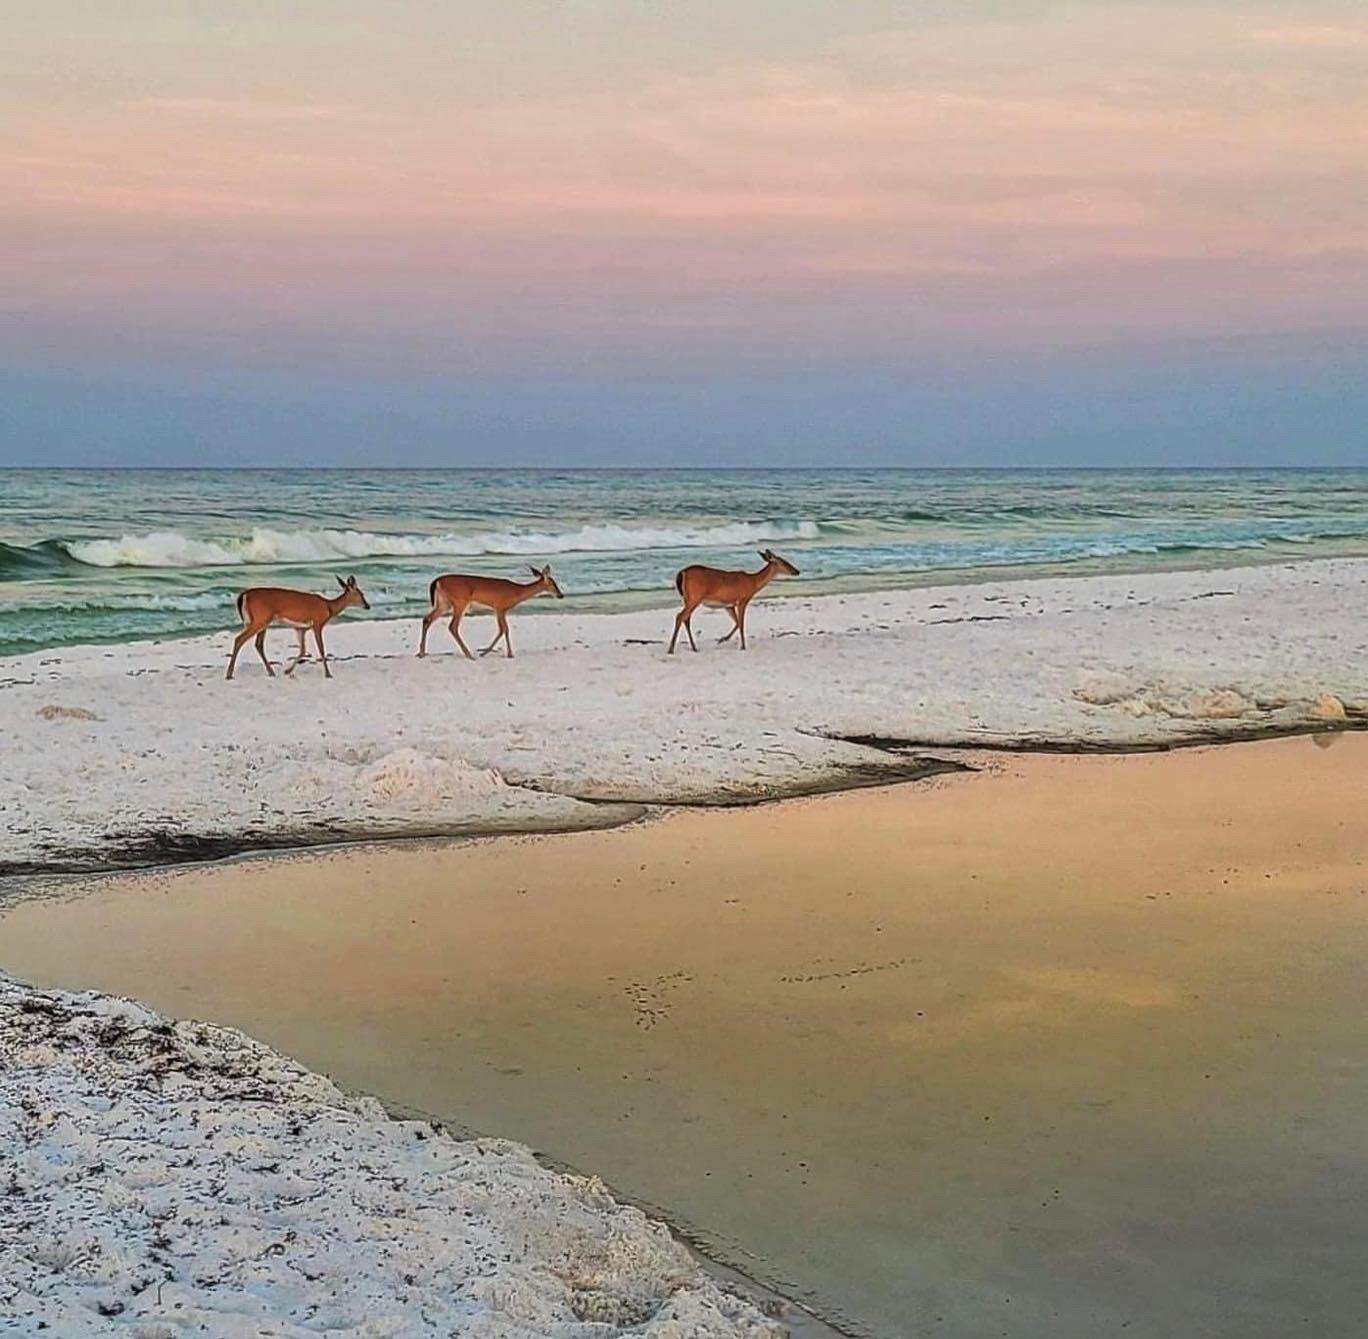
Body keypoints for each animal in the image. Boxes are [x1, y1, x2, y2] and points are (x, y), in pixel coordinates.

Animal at [225, 575, 370, 681]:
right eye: (360, 594)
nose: (367, 606)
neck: (329, 607)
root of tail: (243, 595)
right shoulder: (317, 623)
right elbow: (321, 649)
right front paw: (328, 674)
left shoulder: (301, 628)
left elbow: (303, 650)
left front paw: (287, 671)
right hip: (260, 619)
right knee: (239, 639)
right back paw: (229, 674)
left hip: (262, 622)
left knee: (258, 644)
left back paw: (271, 672)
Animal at [418, 565, 564, 660]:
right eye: (553, 583)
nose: (561, 595)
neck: (516, 592)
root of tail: (437, 581)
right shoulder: (500, 607)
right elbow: (504, 629)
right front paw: (508, 654)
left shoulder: (498, 609)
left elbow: (502, 629)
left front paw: (486, 652)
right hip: (460, 602)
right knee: (452, 626)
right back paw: (469, 655)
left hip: (444, 603)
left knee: (427, 619)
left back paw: (421, 653)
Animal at [668, 549, 800, 653]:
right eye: (784, 562)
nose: (797, 571)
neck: (753, 582)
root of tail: (682, 573)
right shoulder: (743, 600)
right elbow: (741, 623)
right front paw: (743, 646)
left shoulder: (729, 604)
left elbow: (737, 622)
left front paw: (722, 639)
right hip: (695, 597)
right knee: (680, 616)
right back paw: (671, 649)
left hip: (687, 598)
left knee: (686, 618)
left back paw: (694, 647)